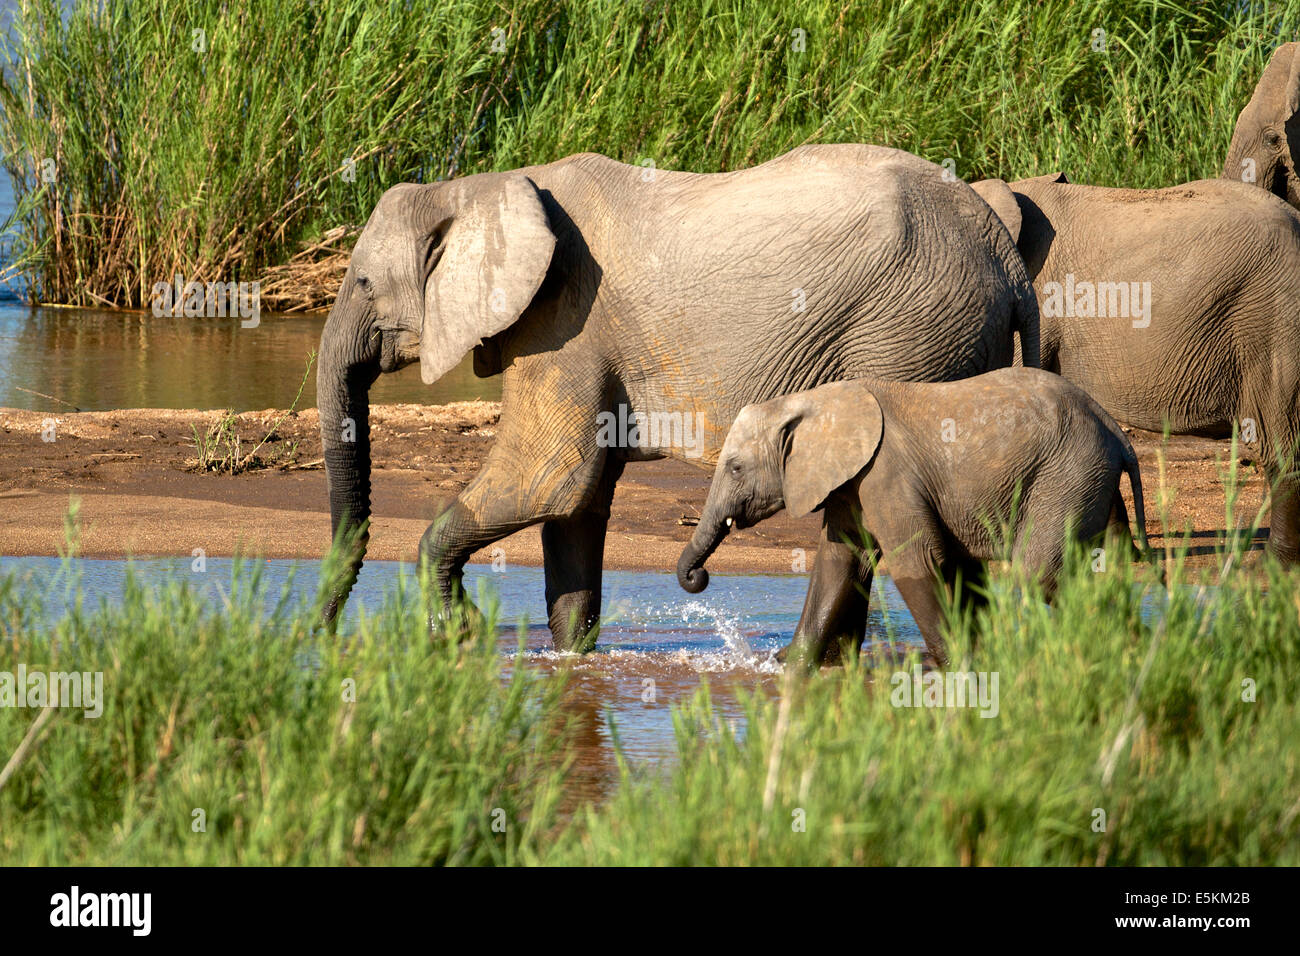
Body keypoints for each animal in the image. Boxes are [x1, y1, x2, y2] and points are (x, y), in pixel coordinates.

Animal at [317, 144, 1040, 651]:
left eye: (362, 283)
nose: (318, 635)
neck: (485, 186)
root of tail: (1008, 260)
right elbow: (576, 505)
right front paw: (569, 660)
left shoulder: (566, 319)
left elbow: (549, 477)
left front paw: (460, 630)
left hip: (910, 331)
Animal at [675, 368, 1149, 668]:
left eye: (735, 468)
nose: (697, 577)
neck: (812, 401)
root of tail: (1115, 429)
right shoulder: (852, 482)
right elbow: (838, 563)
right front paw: (788, 666)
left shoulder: (885, 472)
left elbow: (914, 561)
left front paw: (962, 665)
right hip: (1092, 479)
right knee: (1105, 573)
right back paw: (1129, 650)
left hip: (1067, 473)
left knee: (1040, 577)